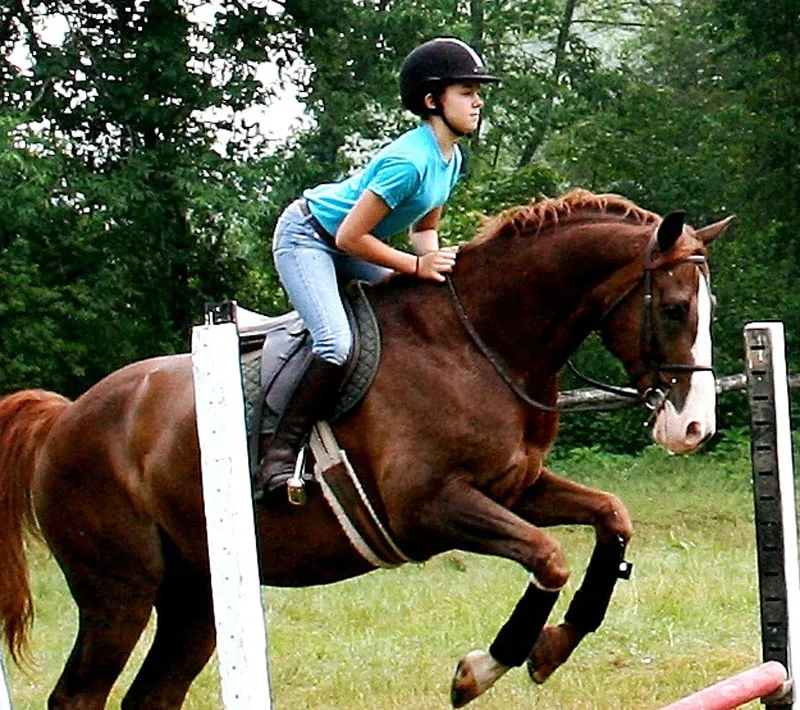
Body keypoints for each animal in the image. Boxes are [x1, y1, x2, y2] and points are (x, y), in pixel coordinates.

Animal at [0, 192, 732, 708]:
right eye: (673, 308)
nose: (693, 430)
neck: (476, 344)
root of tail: (66, 418)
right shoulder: (429, 509)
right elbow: (548, 558)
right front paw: (479, 672)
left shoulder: (515, 488)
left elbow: (612, 519)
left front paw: (550, 649)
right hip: (118, 594)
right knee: (78, 695)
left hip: (195, 599)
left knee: (154, 693)